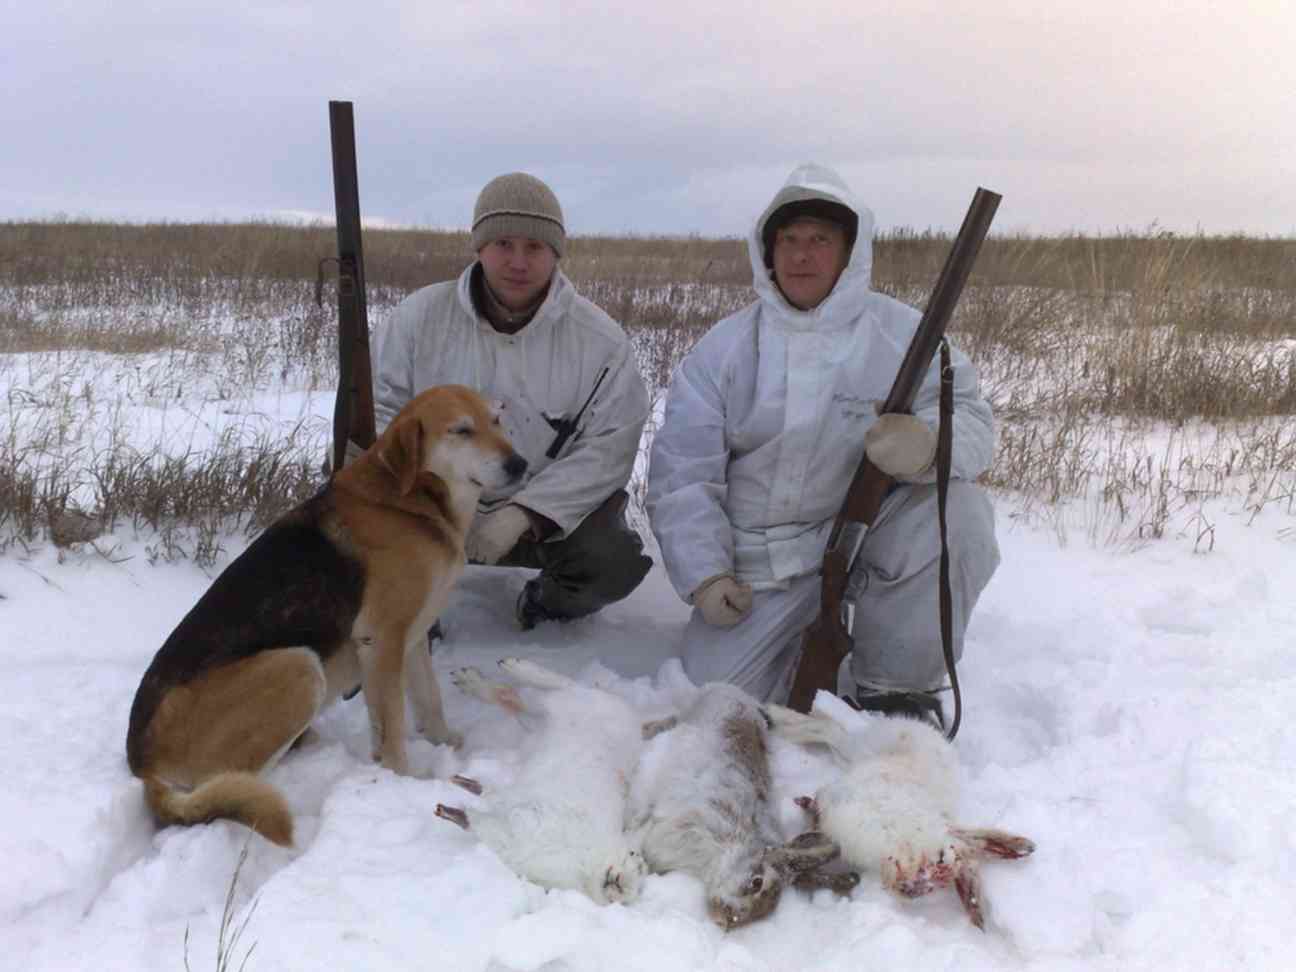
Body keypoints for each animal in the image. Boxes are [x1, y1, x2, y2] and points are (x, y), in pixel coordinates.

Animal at [123, 383, 523, 850]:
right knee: (234, 784)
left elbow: (429, 700)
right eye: (461, 430)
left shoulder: (414, 636)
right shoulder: (383, 639)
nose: (520, 464)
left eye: (497, 420)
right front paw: (404, 782)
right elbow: (391, 726)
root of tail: (143, 766)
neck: (412, 501)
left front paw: (444, 744)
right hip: (298, 666)